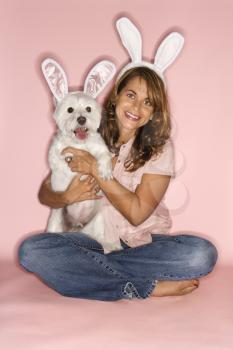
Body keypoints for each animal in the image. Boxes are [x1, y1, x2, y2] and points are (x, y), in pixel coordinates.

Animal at [41, 58, 123, 254]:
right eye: (70, 110)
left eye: (88, 109)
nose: (81, 119)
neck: (80, 143)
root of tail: (75, 227)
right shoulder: (55, 151)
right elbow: (59, 160)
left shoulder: (99, 147)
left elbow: (104, 157)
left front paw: (105, 171)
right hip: (56, 219)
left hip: (97, 222)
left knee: (101, 240)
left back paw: (110, 246)